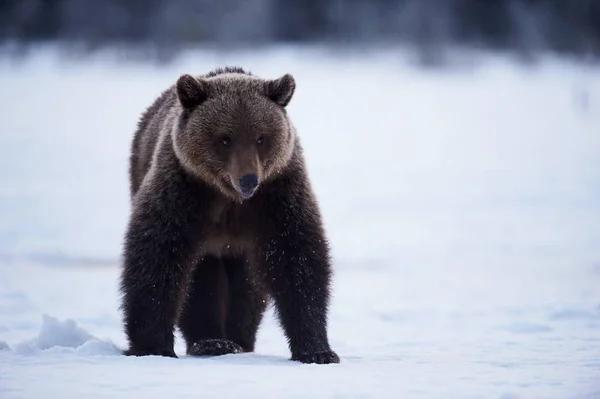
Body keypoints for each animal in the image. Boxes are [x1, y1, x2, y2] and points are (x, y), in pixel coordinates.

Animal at [119, 66, 340, 366]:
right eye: (225, 138)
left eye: (261, 137)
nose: (248, 179)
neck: (230, 198)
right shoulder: (184, 190)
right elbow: (158, 254)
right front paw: (152, 345)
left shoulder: (278, 194)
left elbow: (297, 257)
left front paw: (317, 350)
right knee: (201, 282)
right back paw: (212, 341)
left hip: (241, 248)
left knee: (247, 291)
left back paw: (237, 339)